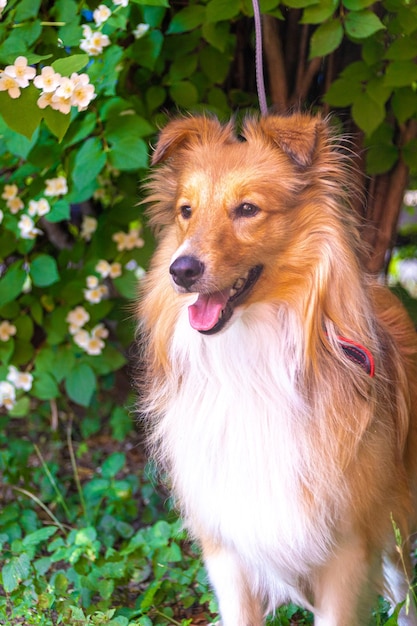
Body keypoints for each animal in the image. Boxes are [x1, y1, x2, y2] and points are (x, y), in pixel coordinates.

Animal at [138, 113, 416, 624]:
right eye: (187, 210)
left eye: (247, 208)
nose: (180, 270)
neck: (250, 359)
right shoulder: (229, 548)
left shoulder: (348, 548)